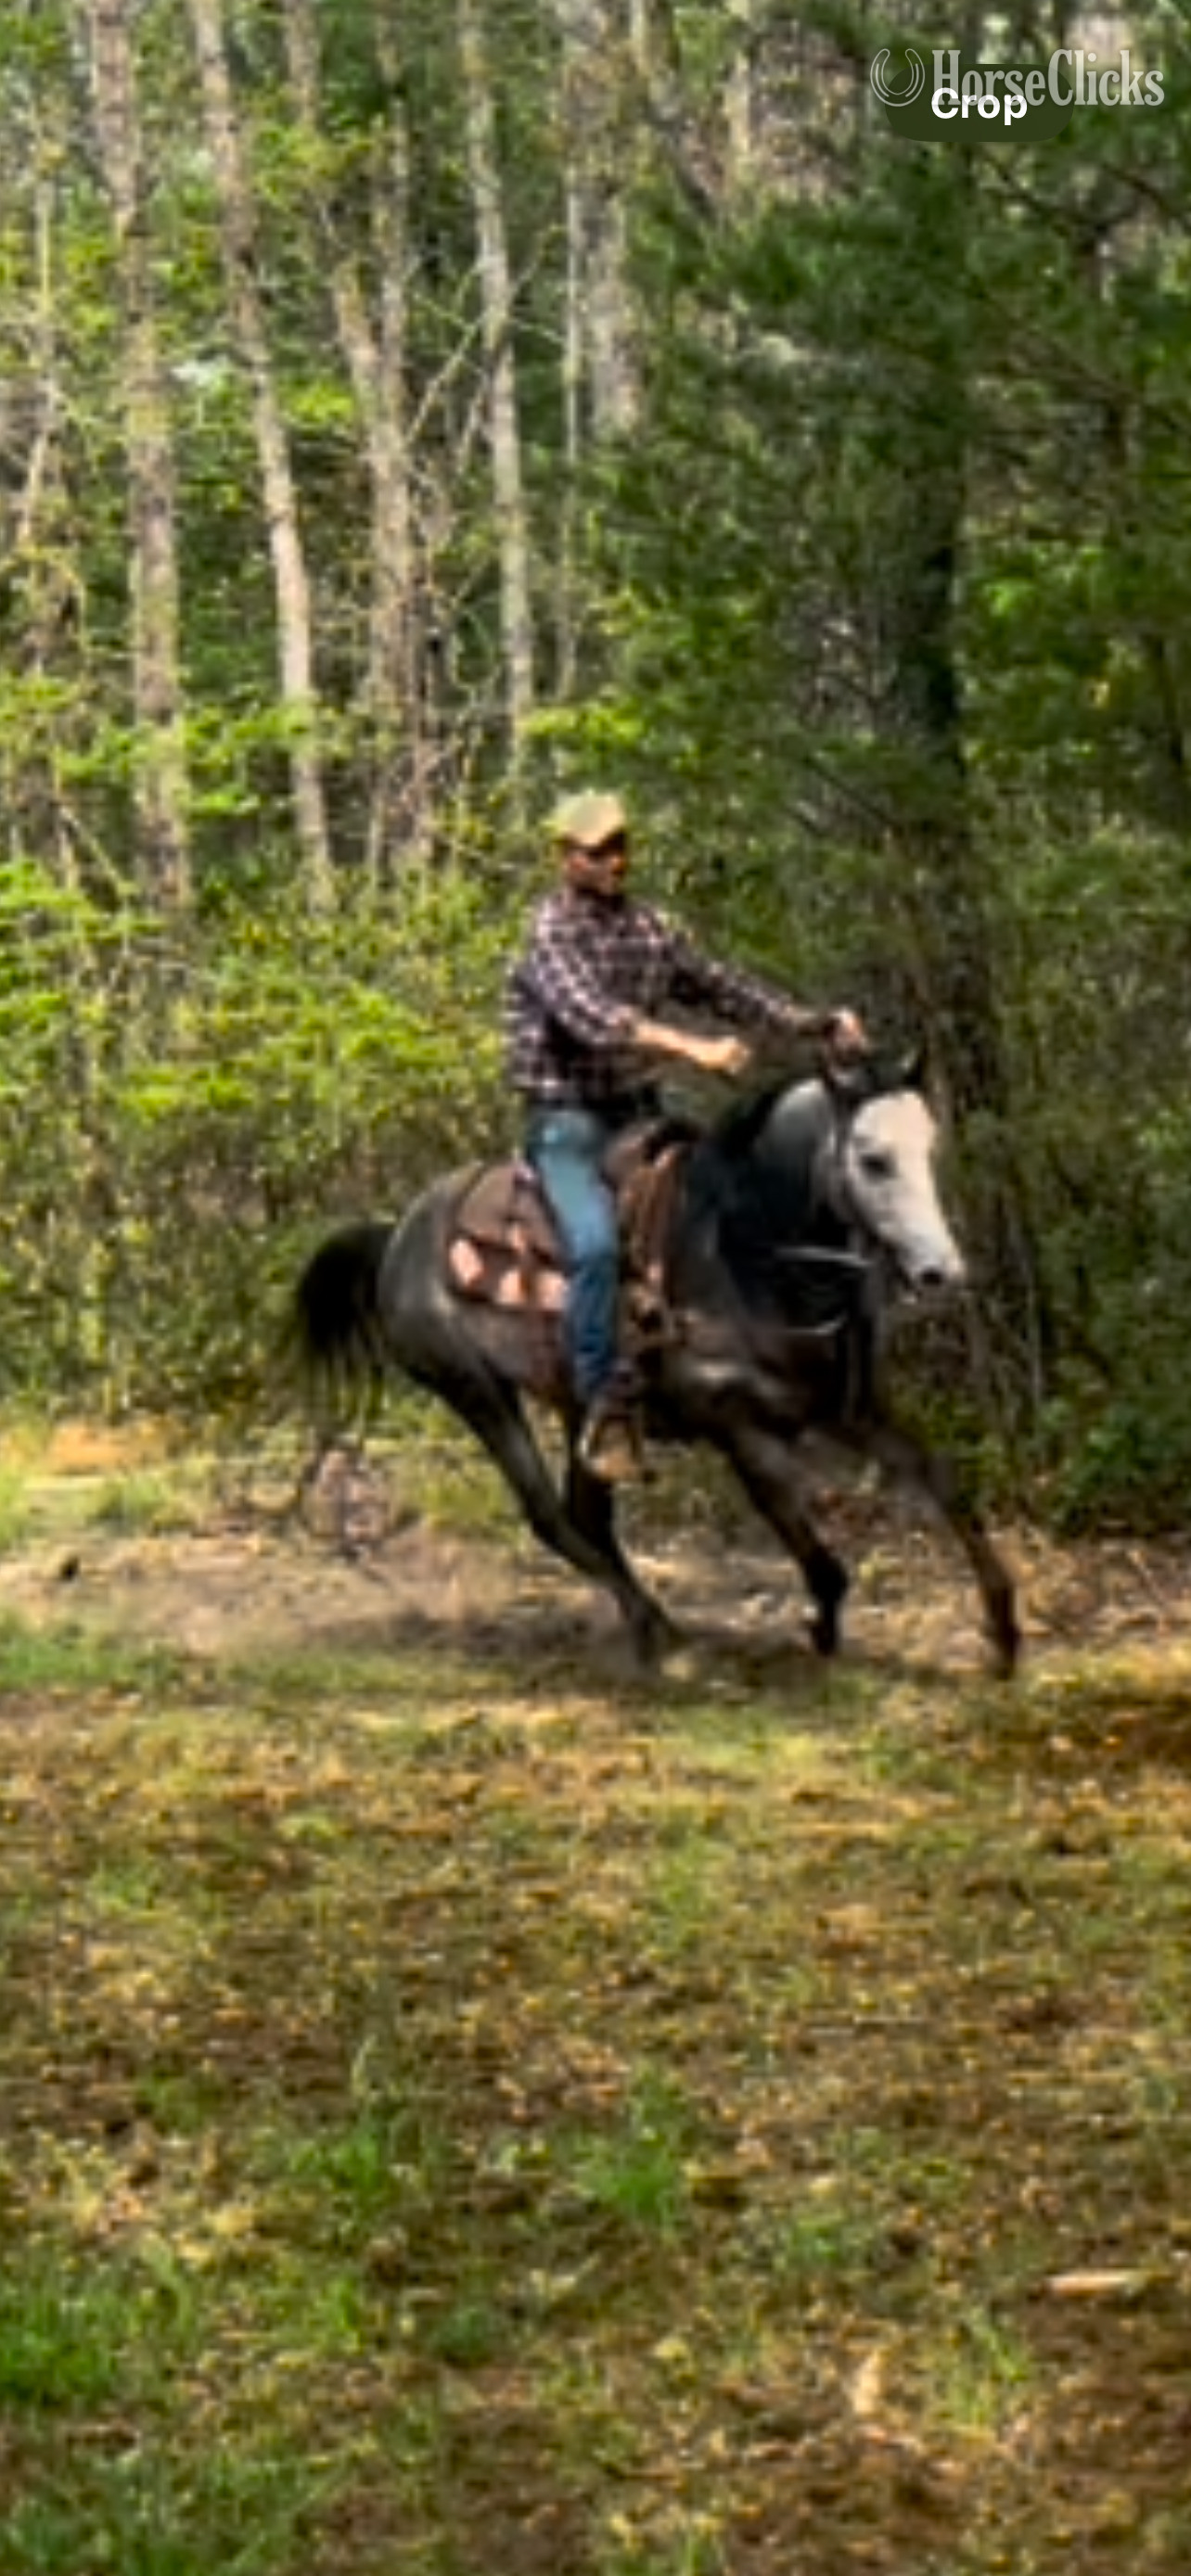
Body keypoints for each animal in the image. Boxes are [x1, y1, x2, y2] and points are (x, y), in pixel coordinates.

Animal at [291, 1059, 1020, 1677]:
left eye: (929, 1150)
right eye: (873, 1161)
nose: (941, 1273)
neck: (741, 1251)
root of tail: (397, 1235)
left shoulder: (849, 1407)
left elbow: (940, 1480)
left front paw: (1004, 1632)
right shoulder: (739, 1428)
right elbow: (804, 1535)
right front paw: (822, 1628)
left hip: (576, 1403)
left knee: (587, 1514)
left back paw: (655, 1622)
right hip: (477, 1392)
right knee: (549, 1517)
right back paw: (652, 1627)